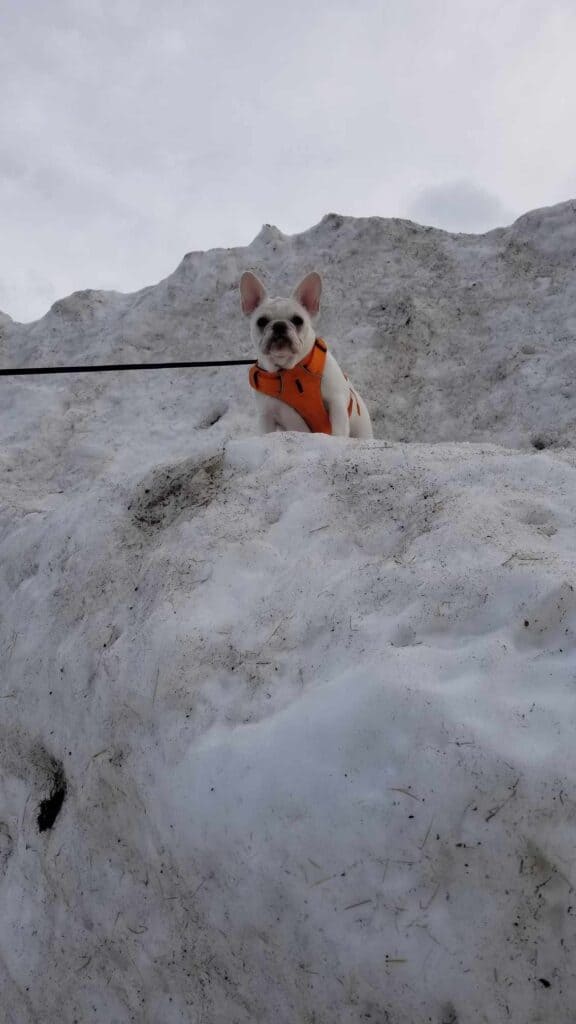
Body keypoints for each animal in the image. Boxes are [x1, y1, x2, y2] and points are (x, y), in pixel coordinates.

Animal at [237, 270, 373, 438]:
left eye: (298, 320)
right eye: (261, 321)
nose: (279, 325)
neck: (289, 370)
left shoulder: (336, 402)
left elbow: (337, 430)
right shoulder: (266, 415)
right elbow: (266, 433)